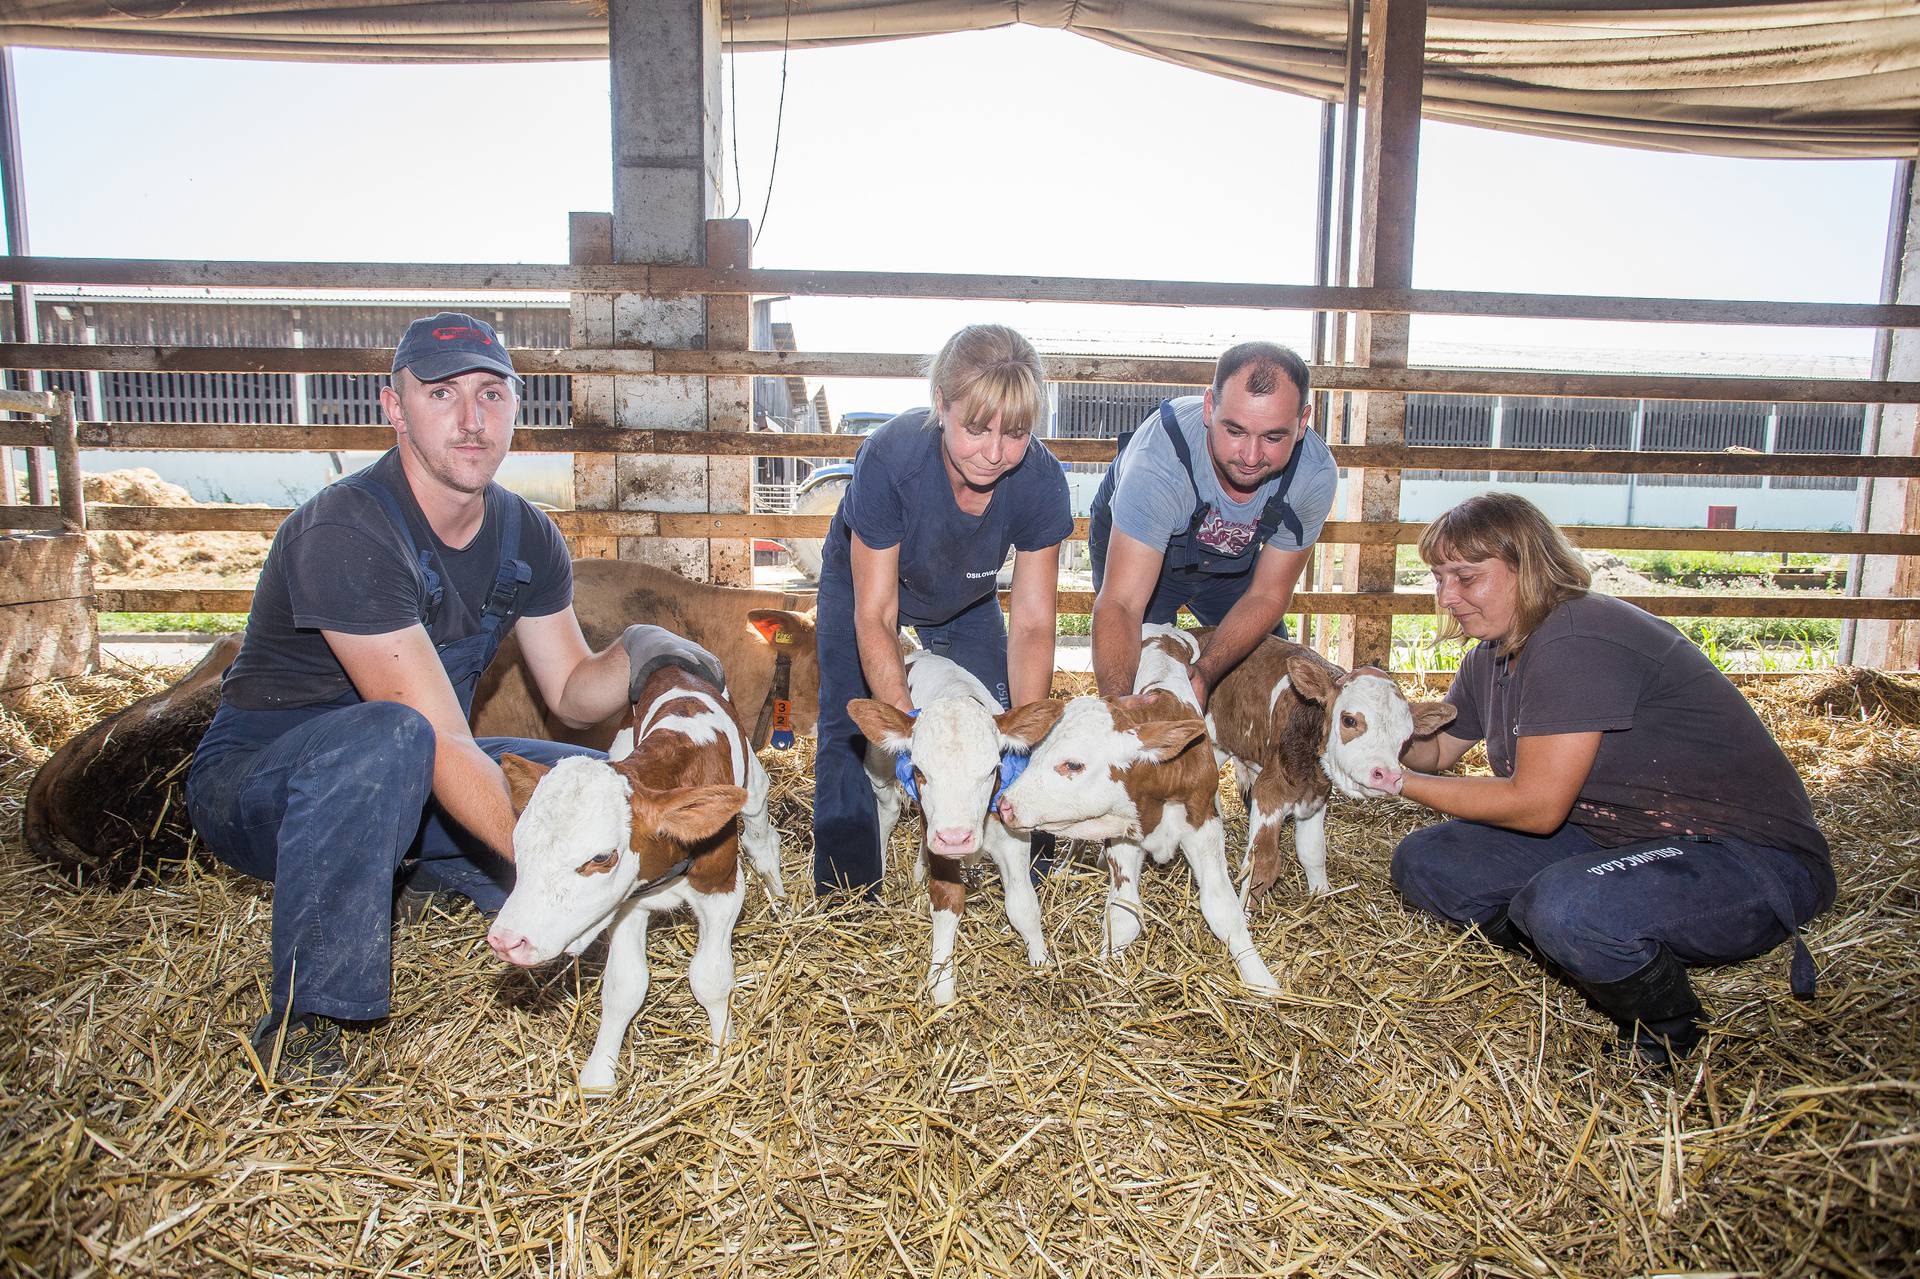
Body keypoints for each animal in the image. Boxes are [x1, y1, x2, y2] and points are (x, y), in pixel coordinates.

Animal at [487, 660, 779, 1090]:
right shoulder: (628, 904)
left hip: (754, 789)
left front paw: (723, 1053)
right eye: (518, 844)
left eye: (601, 856)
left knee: (762, 837)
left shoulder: (721, 888)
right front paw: (598, 1075)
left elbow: (710, 977)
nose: (506, 941)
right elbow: (624, 986)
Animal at [848, 652, 1052, 998]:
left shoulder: (1011, 836)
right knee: (887, 809)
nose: (956, 838)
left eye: (993, 769)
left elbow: (1023, 904)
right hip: (879, 765)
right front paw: (942, 985)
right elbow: (947, 901)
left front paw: (1041, 961)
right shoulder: (940, 841)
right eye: (919, 770)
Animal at [983, 687, 1282, 998]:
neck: (1159, 783)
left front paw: (1261, 979)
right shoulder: (1124, 837)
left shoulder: (1203, 827)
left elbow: (1223, 908)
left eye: (1073, 764)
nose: (1005, 805)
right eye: (1034, 755)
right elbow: (1123, 914)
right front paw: (1110, 969)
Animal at [1205, 633, 1443, 894]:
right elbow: (1260, 866)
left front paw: (1320, 894)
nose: (1388, 776)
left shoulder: (1316, 796)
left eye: (1407, 736)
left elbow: (1313, 852)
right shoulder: (1269, 792)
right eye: (1349, 720)